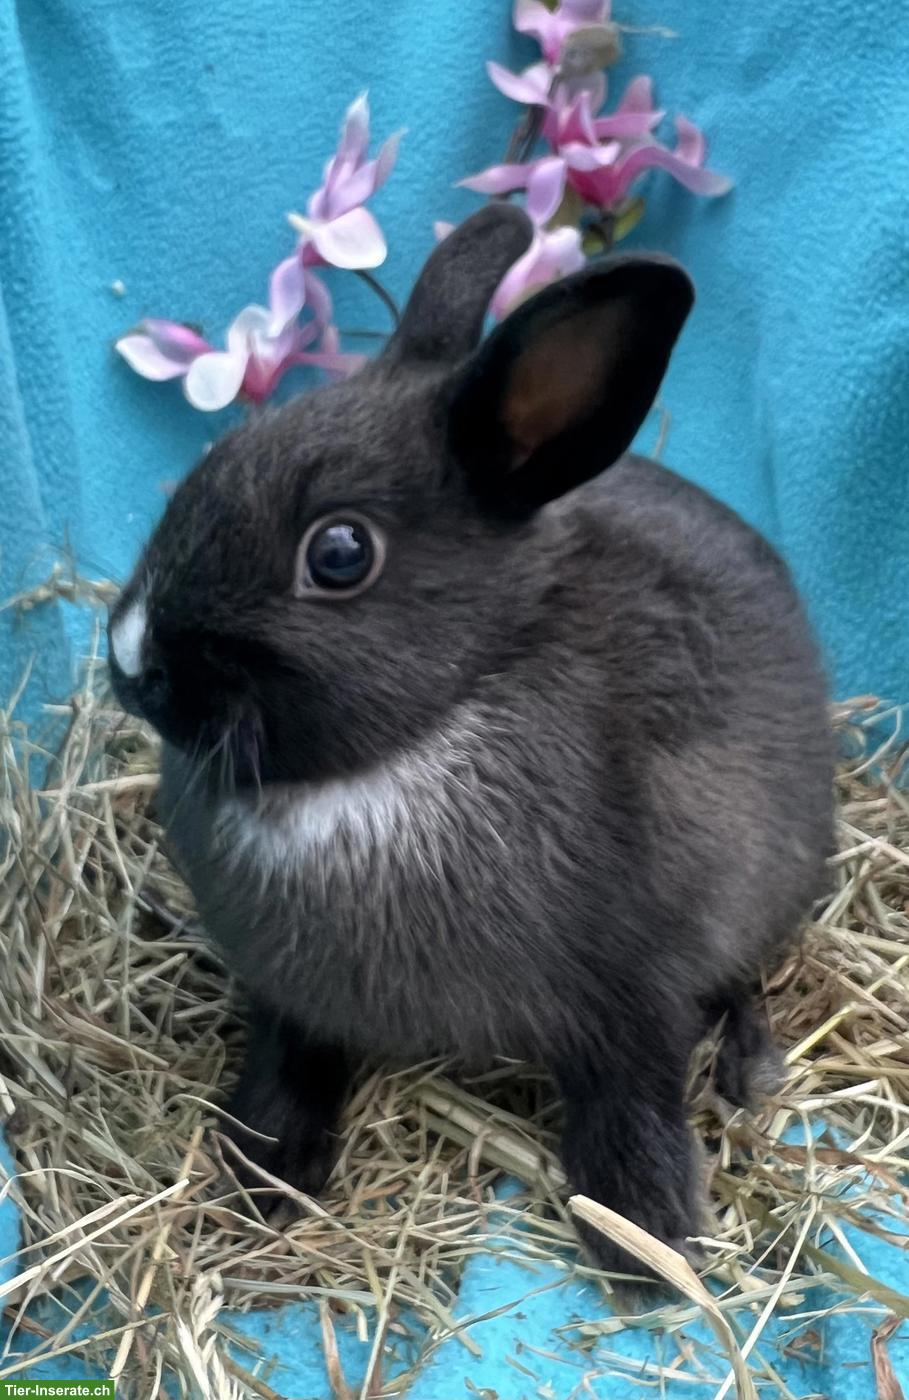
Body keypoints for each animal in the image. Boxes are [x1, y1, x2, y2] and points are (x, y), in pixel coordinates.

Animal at [107, 203, 833, 1281]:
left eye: (339, 553)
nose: (132, 660)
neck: (401, 749)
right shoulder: (293, 1001)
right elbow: (288, 1064)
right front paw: (263, 1172)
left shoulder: (636, 989)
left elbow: (633, 1091)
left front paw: (646, 1239)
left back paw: (747, 1064)